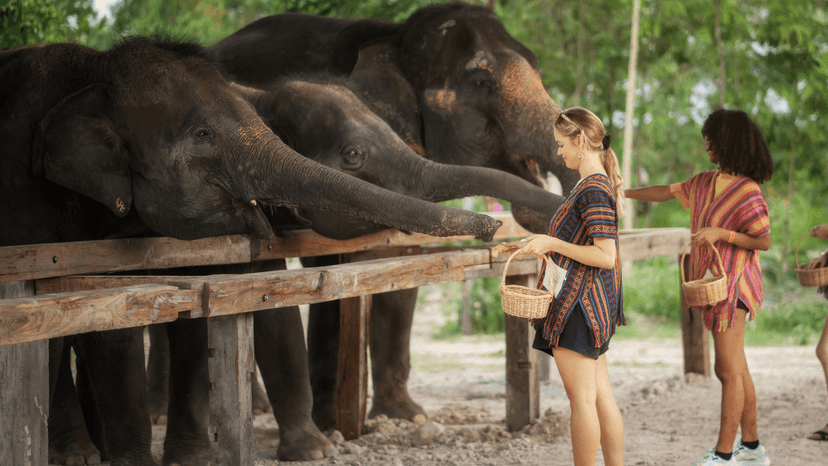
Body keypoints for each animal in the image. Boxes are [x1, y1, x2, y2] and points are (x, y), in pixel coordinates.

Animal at [0, 37, 500, 466]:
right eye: (353, 154)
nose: (494, 227)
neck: (93, 74)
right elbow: (110, 320)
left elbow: (254, 308)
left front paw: (313, 449)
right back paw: (77, 455)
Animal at [207, 3, 573, 431]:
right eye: (480, 81)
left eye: (538, 65)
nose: (497, 226)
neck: (395, 36)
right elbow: (326, 269)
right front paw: (332, 427)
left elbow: (399, 271)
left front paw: (406, 416)